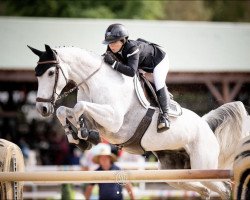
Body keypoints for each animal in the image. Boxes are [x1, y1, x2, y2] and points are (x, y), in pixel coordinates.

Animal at [28, 44, 249, 199]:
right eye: (36, 75)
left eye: (50, 73)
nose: (42, 109)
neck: (94, 83)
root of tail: (206, 126)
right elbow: (66, 110)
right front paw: (78, 137)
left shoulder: (114, 121)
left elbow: (79, 106)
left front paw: (83, 134)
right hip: (175, 174)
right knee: (204, 190)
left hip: (202, 165)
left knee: (224, 189)